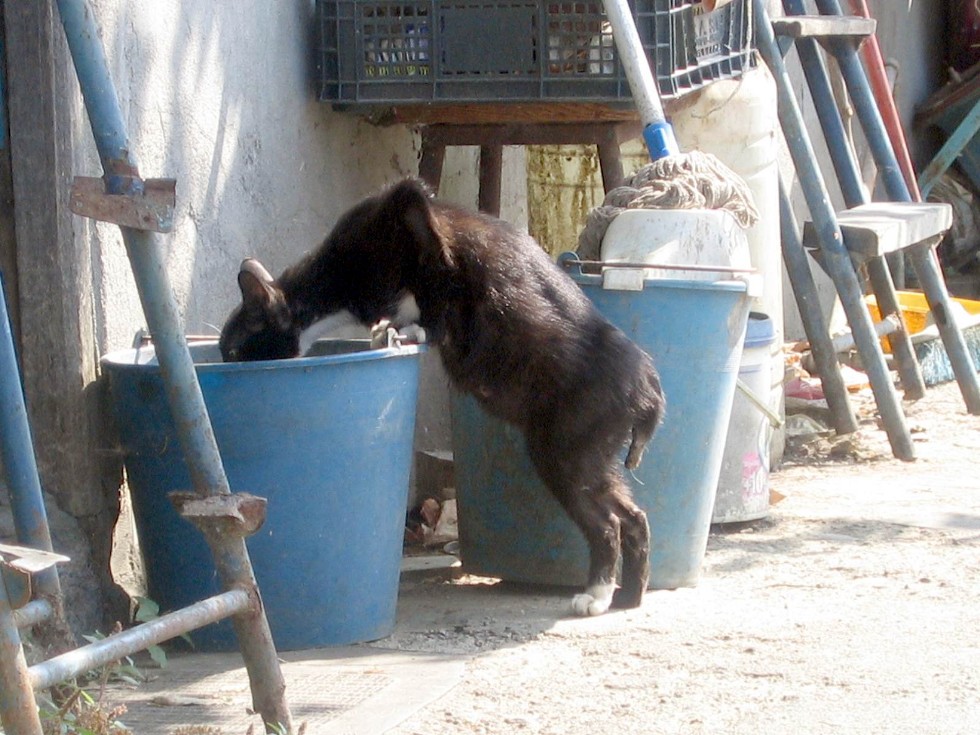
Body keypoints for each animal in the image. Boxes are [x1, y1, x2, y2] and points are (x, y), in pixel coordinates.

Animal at [220, 178, 668, 616]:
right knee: (634, 517)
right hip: (592, 454)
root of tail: (648, 385)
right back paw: (629, 597)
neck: (339, 288)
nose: (223, 364)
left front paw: (417, 327)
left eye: (233, 350)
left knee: (607, 524)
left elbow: (439, 271)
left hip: (565, 450)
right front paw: (389, 331)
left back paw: (596, 595)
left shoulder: (410, 210)